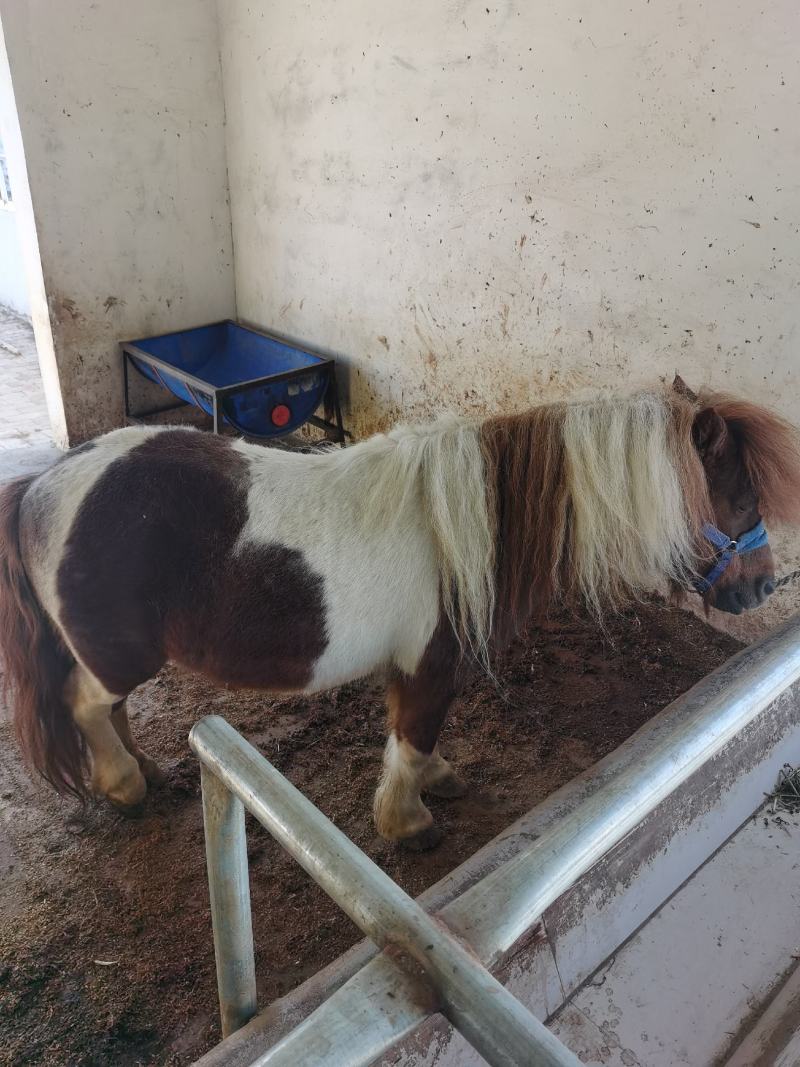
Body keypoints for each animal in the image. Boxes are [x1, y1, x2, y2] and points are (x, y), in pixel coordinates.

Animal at [1, 377, 799, 849]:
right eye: (738, 498)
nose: (764, 588)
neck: (476, 522)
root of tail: (45, 485)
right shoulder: (433, 664)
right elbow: (412, 737)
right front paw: (407, 820)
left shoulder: (416, 666)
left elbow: (411, 736)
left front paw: (434, 780)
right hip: (117, 655)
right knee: (86, 705)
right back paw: (125, 785)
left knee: (109, 710)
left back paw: (146, 770)